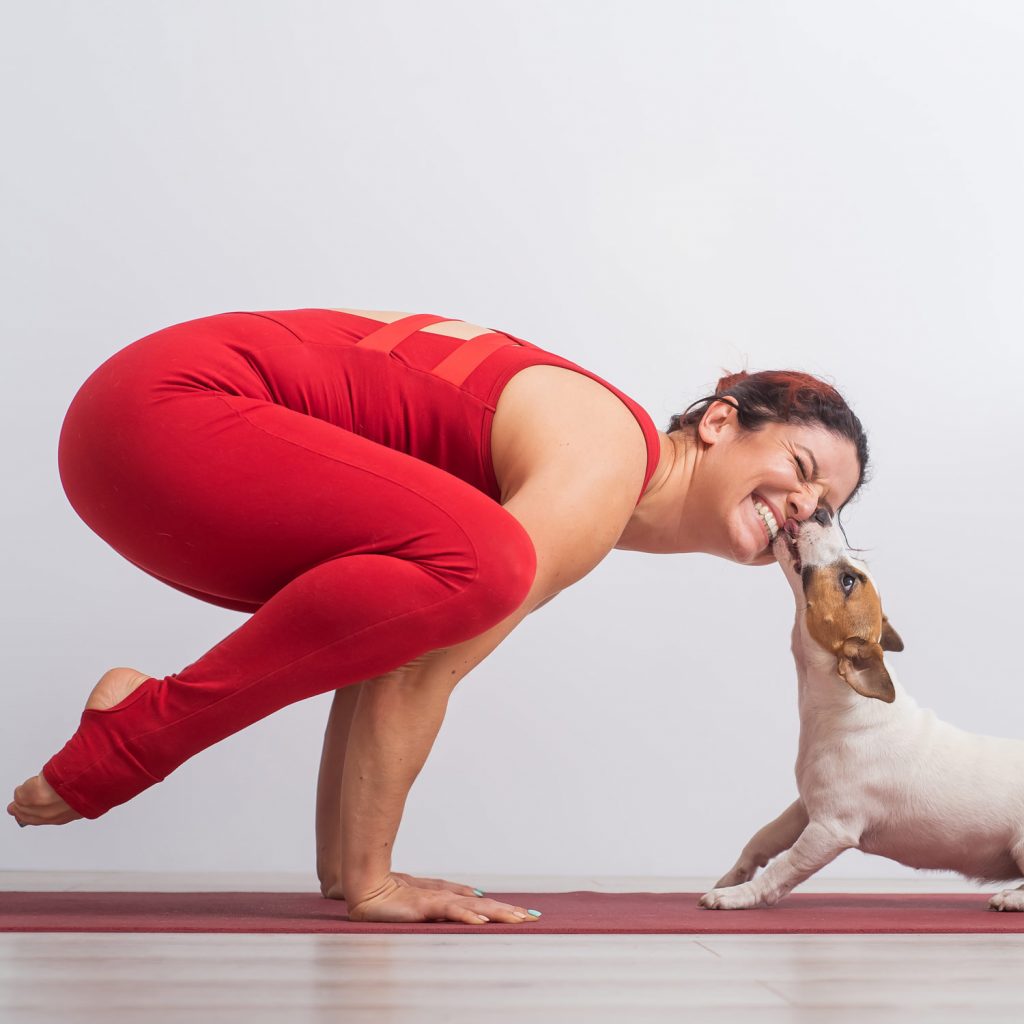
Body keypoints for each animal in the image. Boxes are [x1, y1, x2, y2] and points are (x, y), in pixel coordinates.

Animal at [700, 512, 1024, 913]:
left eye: (847, 581)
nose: (822, 512)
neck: (846, 706)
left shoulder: (830, 829)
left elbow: (783, 868)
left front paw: (736, 896)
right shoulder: (806, 806)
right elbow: (764, 836)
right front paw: (734, 876)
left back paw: (1011, 897)